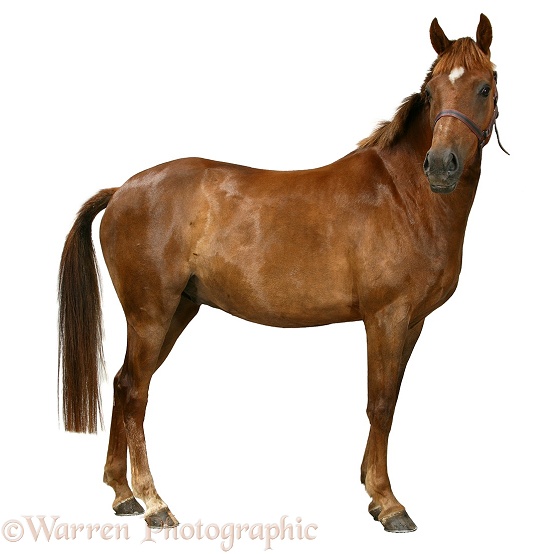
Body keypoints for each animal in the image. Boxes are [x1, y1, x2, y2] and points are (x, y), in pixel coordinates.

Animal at [57, 14, 504, 532]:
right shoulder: (385, 319)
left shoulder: (412, 323)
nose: (440, 166)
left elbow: (388, 403)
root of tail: (123, 190)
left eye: (484, 86)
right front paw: (389, 502)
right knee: (134, 392)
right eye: (431, 92)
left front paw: (372, 492)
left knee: (122, 383)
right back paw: (154, 502)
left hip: (177, 312)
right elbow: (379, 404)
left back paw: (122, 493)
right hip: (151, 314)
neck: (403, 195)